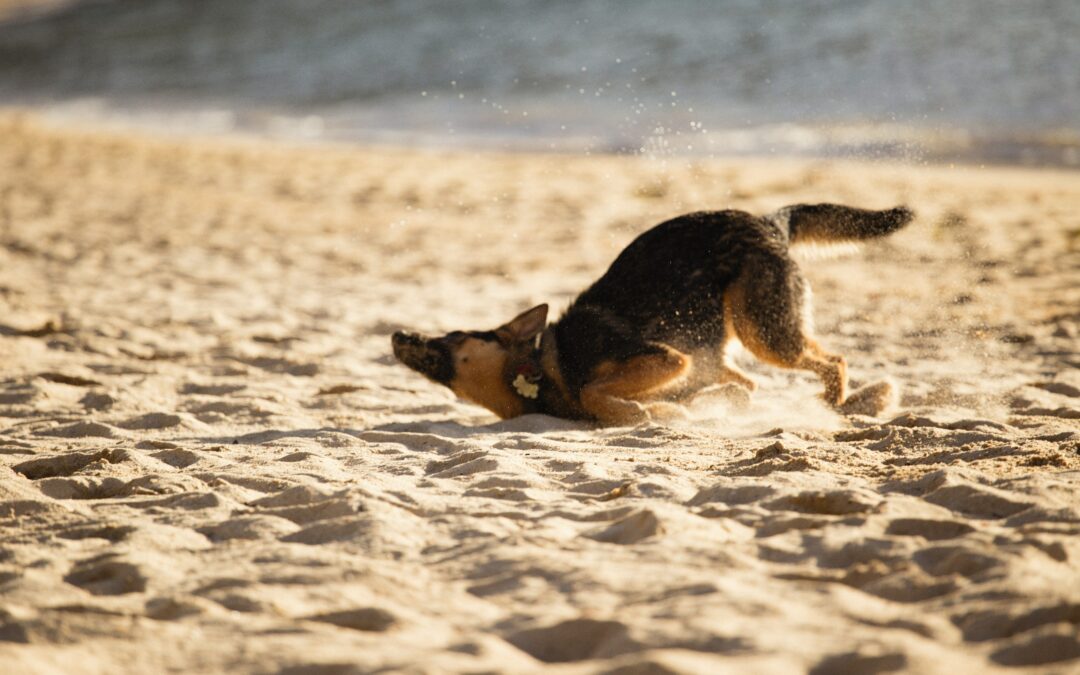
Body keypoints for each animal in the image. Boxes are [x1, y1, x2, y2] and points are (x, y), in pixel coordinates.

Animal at [388, 203, 911, 423]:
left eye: (452, 337)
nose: (396, 335)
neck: (538, 368)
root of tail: (767, 221)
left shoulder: (667, 357)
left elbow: (597, 390)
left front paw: (637, 409)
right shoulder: (697, 366)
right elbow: (730, 392)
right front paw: (666, 410)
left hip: (763, 332)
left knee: (833, 360)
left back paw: (836, 402)